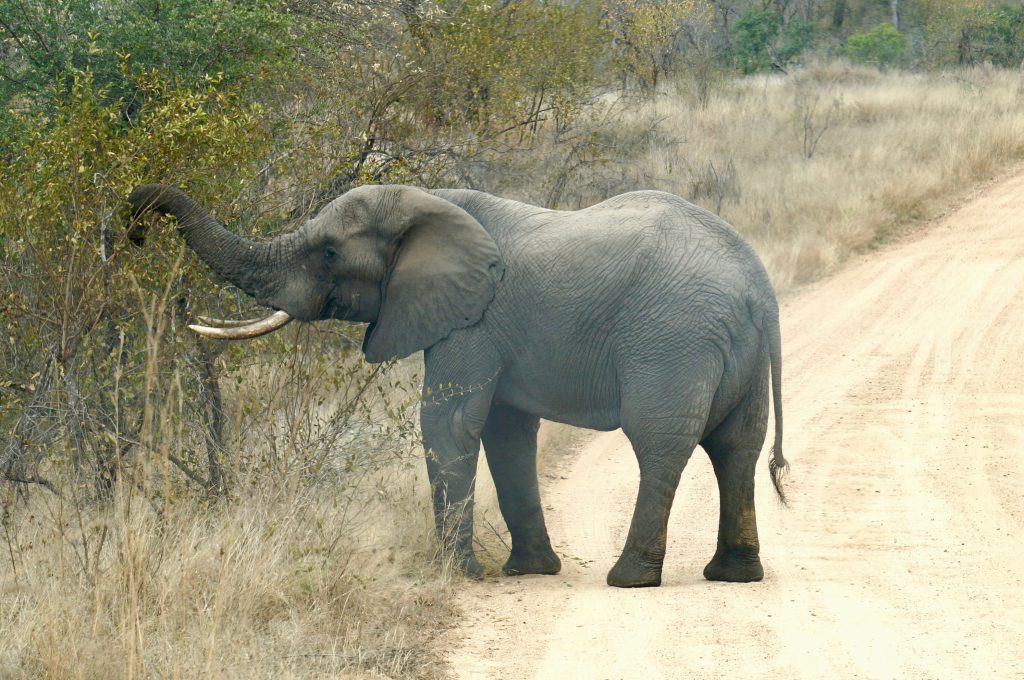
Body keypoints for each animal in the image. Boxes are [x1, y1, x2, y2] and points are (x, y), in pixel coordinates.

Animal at [125, 183, 782, 585]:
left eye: (330, 252)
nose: (134, 227)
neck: (428, 202)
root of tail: (759, 286)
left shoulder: (472, 321)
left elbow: (449, 423)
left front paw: (454, 575)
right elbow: (506, 433)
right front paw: (528, 572)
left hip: (672, 340)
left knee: (660, 444)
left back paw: (629, 579)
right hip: (731, 356)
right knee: (736, 449)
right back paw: (733, 574)